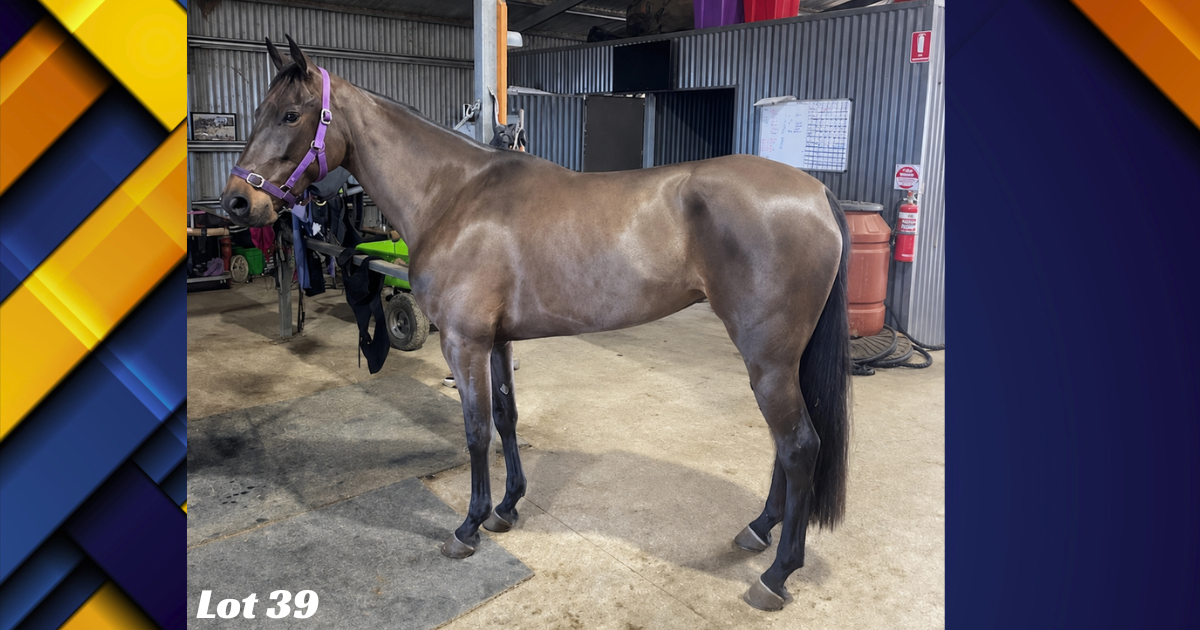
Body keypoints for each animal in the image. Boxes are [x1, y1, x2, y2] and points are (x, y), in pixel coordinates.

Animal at [220, 36, 852, 611]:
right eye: (261, 111)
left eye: (291, 114)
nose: (236, 204)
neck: (453, 195)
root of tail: (817, 191)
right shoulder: (496, 342)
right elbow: (506, 418)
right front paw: (506, 509)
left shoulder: (464, 344)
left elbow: (475, 430)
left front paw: (469, 526)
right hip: (777, 361)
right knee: (785, 447)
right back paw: (759, 530)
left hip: (767, 359)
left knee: (798, 446)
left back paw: (776, 574)